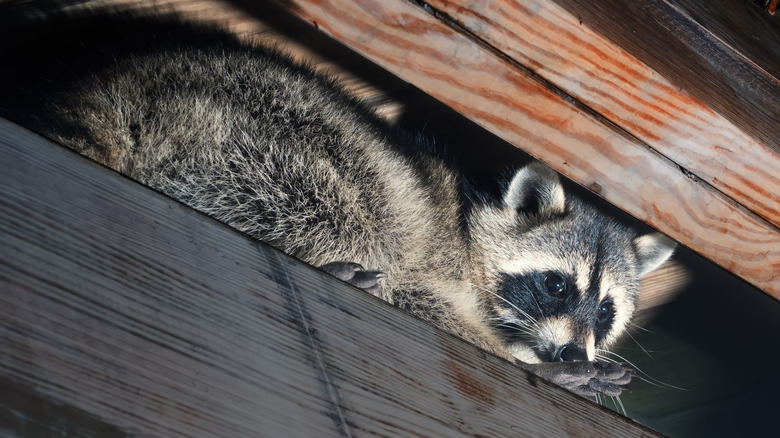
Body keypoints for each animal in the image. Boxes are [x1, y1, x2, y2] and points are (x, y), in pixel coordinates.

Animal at [0, 6, 676, 396]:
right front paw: (536, 367)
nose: (572, 350)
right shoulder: (435, 259)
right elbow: (421, 296)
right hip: (264, 139)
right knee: (352, 209)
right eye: (557, 285)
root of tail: (120, 85)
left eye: (607, 311)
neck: (471, 229)